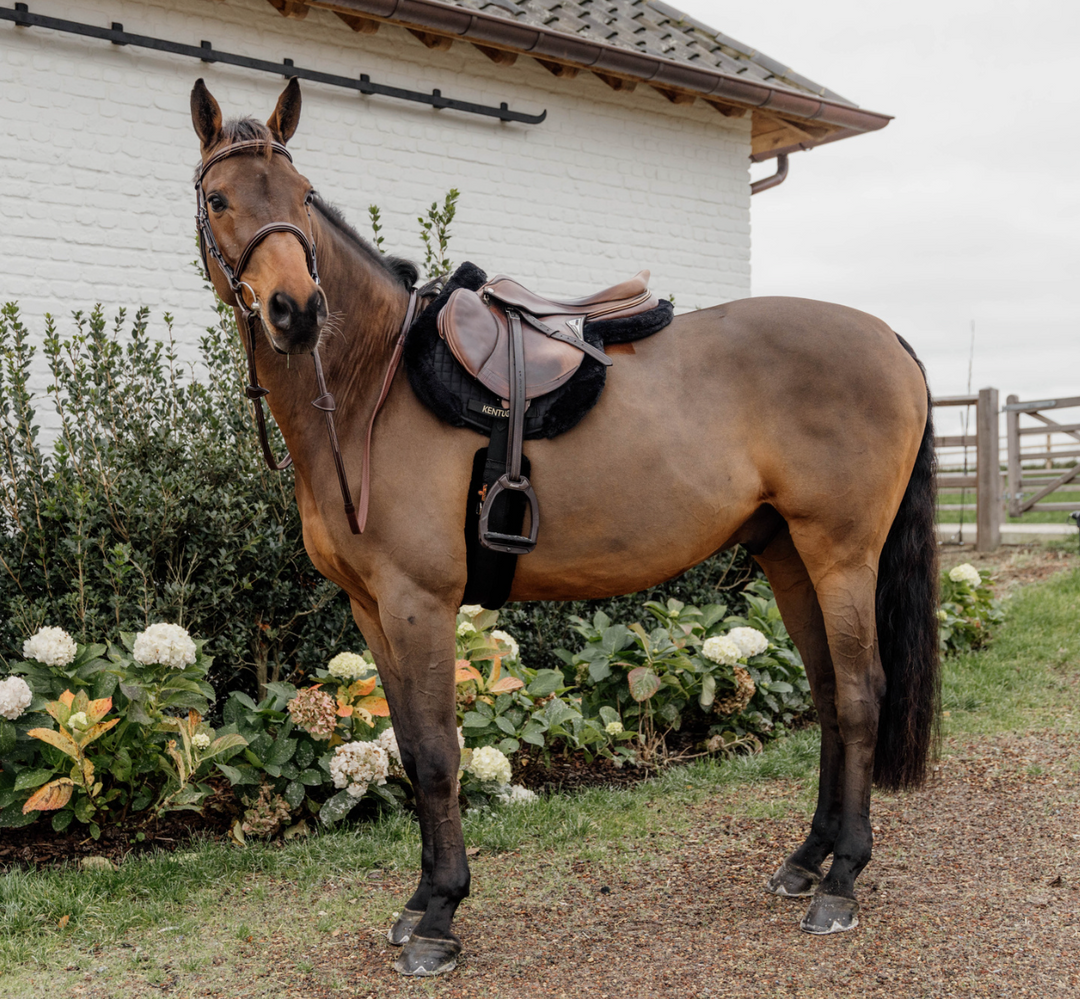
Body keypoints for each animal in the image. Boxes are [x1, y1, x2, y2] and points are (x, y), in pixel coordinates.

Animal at [192, 77, 937, 976]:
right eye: (219, 198)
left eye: (302, 196)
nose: (296, 312)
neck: (373, 381)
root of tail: (886, 337)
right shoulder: (371, 609)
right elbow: (409, 743)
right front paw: (417, 902)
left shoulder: (419, 601)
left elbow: (438, 753)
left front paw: (440, 915)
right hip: (788, 554)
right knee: (828, 694)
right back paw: (806, 860)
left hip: (842, 554)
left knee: (860, 696)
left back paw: (843, 880)